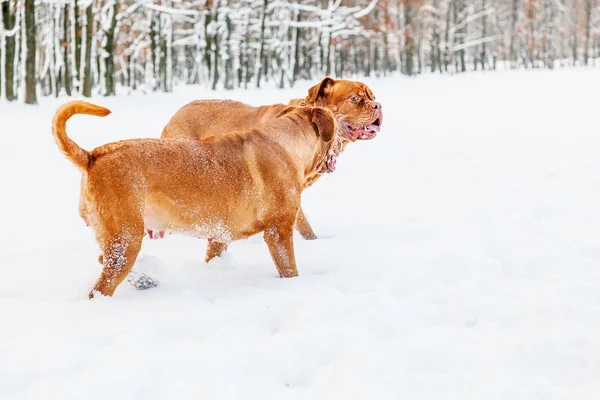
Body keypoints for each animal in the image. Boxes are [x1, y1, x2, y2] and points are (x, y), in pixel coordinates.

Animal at [51, 101, 338, 298]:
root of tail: (91, 156)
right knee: (100, 287)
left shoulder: (220, 235)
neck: (286, 145)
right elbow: (289, 268)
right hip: (126, 238)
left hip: (119, 238)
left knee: (103, 260)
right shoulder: (279, 231)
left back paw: (145, 281)